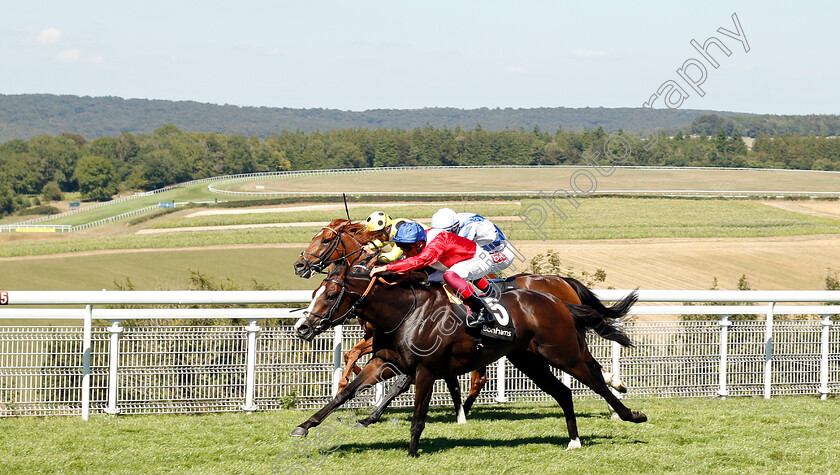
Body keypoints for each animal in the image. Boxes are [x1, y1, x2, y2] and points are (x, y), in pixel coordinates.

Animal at [292, 221, 628, 414]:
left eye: (325, 240)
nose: (299, 265)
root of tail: (560, 282)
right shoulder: (382, 336)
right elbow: (356, 356)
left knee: (585, 364)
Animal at [292, 258, 648, 460]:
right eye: (312, 294)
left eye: (329, 294)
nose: (302, 327)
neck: (405, 311)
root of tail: (557, 299)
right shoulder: (384, 363)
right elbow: (344, 394)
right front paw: (305, 426)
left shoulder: (425, 369)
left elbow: (418, 415)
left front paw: (411, 452)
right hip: (529, 360)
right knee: (564, 391)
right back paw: (573, 441)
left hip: (563, 352)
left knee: (596, 378)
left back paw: (630, 414)